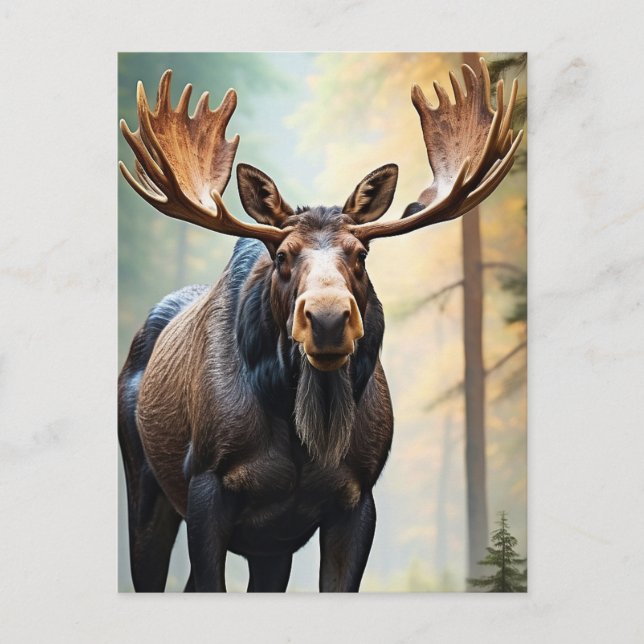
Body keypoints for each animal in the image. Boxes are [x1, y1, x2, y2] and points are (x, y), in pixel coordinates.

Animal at [118, 58, 522, 592]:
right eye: (282, 256)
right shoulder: (206, 483)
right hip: (145, 486)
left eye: (361, 254)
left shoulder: (356, 498)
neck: (302, 431)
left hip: (269, 549)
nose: (328, 319)